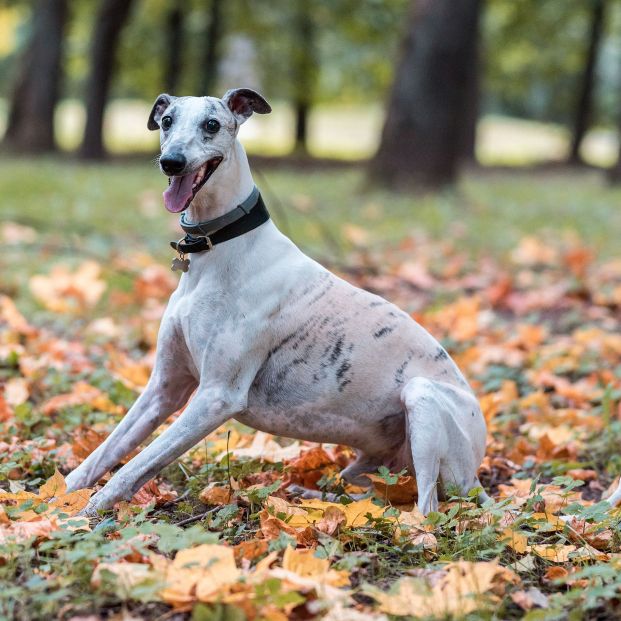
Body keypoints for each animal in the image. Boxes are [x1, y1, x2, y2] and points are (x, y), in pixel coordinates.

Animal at [64, 87, 490, 512]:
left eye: (212, 125)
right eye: (167, 121)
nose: (172, 162)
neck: (219, 247)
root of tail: (476, 474)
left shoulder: (216, 398)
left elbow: (134, 467)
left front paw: (88, 514)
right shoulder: (164, 388)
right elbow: (105, 452)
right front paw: (59, 500)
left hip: (422, 400)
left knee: (426, 508)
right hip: (372, 462)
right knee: (373, 492)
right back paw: (311, 495)